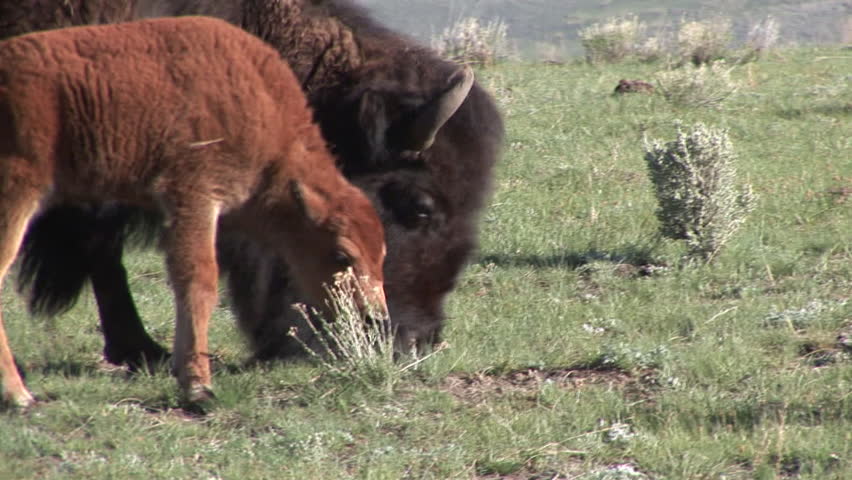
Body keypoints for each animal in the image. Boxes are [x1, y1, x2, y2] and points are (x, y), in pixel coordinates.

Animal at [0, 16, 387, 408]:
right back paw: (19, 396)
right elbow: (198, 282)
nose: (375, 317)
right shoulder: (194, 197)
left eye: (382, 255)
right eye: (341, 255)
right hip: (17, 195)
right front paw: (199, 387)